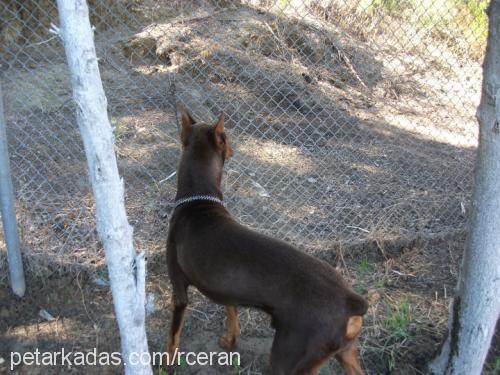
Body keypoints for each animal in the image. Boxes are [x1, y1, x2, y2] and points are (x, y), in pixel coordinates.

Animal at [166, 106, 370, 375]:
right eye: (227, 138)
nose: (234, 148)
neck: (199, 201)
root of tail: (350, 301)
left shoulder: (179, 291)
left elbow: (173, 338)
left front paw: (165, 364)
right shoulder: (227, 290)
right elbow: (232, 315)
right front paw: (231, 341)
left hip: (287, 361)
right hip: (345, 353)